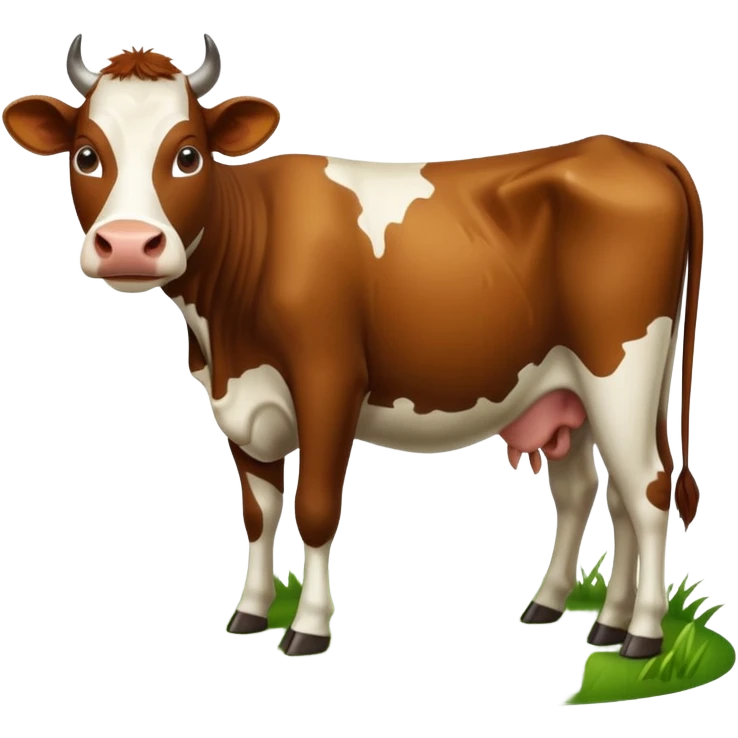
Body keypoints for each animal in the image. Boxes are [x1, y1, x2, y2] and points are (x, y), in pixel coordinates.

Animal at [2, 34, 703, 659]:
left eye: (189, 155)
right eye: (86, 155)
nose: (126, 244)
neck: (224, 333)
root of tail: (633, 151)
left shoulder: (329, 381)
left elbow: (313, 509)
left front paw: (309, 629)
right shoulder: (238, 402)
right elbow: (258, 513)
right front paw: (251, 613)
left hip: (621, 371)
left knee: (647, 489)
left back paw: (641, 635)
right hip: (570, 390)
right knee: (594, 491)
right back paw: (577, 613)